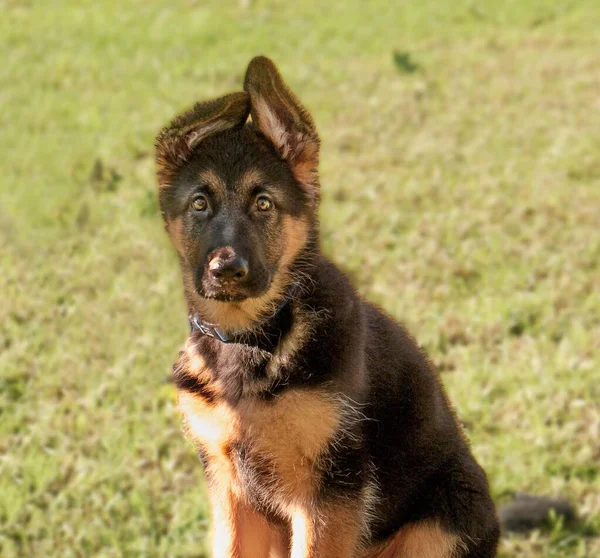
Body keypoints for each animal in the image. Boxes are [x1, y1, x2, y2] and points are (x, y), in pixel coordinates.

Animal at [156, 54, 502, 556]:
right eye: (199, 204)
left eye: (264, 204)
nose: (227, 270)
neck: (253, 339)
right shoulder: (231, 488)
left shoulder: (330, 493)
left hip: (439, 524)